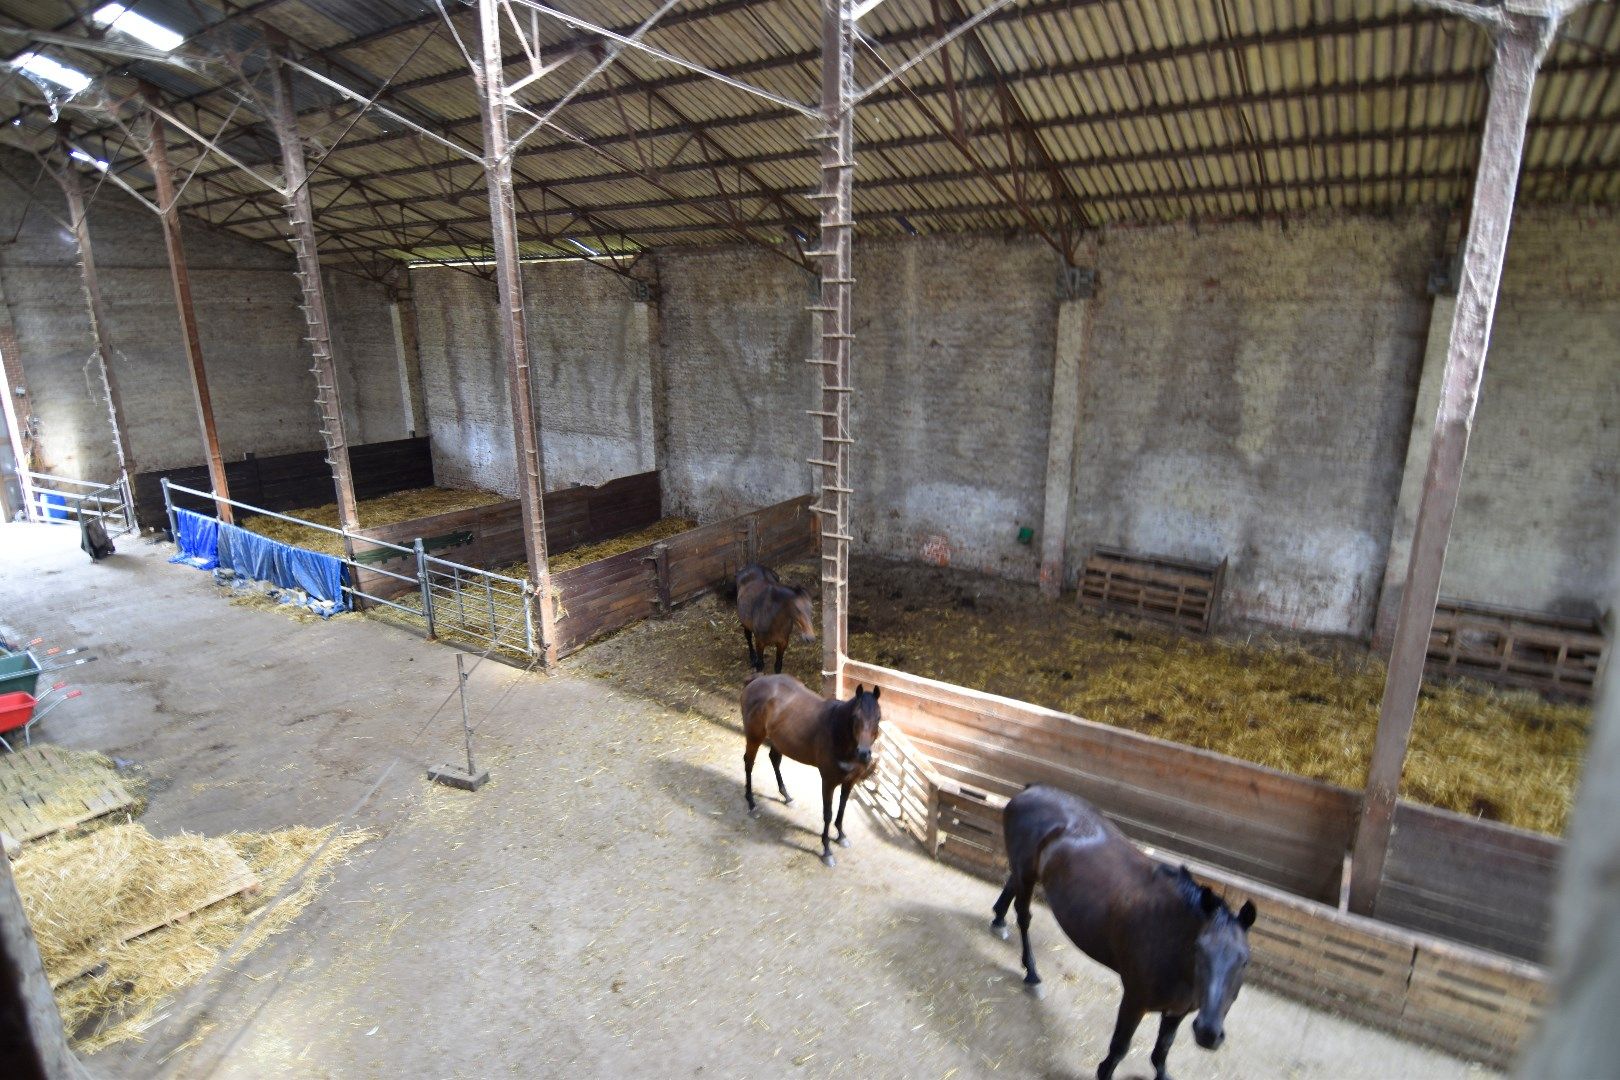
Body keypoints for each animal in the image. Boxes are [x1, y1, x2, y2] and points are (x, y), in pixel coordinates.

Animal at [741, 676, 881, 867]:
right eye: (855, 717)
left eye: (878, 718)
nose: (864, 754)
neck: (838, 734)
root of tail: (755, 681)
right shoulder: (828, 781)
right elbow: (828, 814)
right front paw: (827, 850)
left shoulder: (850, 781)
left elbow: (842, 808)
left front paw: (841, 836)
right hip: (754, 737)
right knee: (749, 763)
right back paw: (751, 803)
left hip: (779, 740)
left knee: (774, 759)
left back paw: (787, 796)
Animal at [991, 786, 1257, 1080]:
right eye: (1199, 949)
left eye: (1244, 961)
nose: (1208, 1033)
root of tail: (1030, 790)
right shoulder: (1134, 1000)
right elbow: (1120, 1047)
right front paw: (1104, 1071)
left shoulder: (1179, 1011)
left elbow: (1164, 1047)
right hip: (1027, 876)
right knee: (1024, 917)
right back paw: (1032, 973)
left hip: (1024, 871)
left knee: (1010, 885)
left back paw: (998, 920)